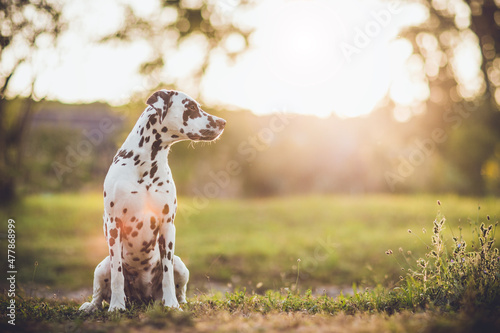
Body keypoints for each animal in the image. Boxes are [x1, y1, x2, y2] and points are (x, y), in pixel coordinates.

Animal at [79, 89, 226, 312]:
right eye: (191, 107)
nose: (223, 122)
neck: (146, 165)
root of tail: (142, 298)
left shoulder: (167, 226)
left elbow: (167, 275)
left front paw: (172, 304)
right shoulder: (114, 226)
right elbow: (117, 275)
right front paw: (116, 306)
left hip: (181, 265)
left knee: (179, 285)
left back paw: (181, 302)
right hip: (101, 267)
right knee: (99, 292)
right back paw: (92, 306)